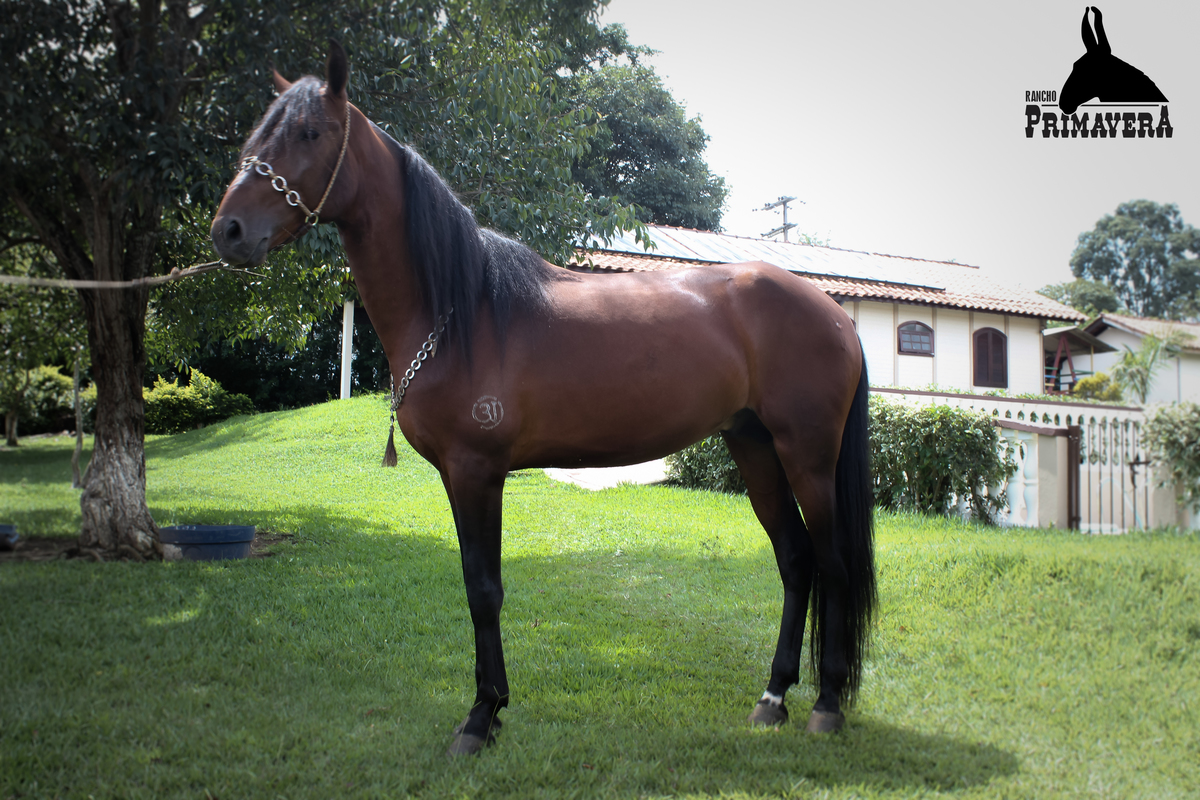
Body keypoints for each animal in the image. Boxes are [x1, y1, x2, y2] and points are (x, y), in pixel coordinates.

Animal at [210, 43, 875, 756]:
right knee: (795, 561)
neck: (461, 312)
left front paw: (481, 717)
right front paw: (491, 708)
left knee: (833, 564)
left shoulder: (477, 471)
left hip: (807, 455)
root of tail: (835, 313)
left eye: (309, 133)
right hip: (754, 446)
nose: (229, 231)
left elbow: (484, 589)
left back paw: (826, 704)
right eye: (257, 134)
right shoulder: (461, 475)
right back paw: (772, 698)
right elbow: (476, 582)